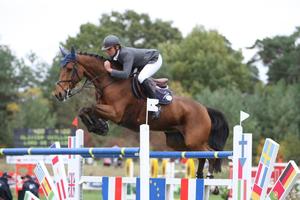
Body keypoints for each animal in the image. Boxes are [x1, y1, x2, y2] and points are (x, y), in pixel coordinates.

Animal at [54, 47, 230, 180]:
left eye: (69, 69)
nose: (58, 94)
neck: (110, 81)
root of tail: (204, 109)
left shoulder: (115, 113)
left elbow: (89, 107)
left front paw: (98, 127)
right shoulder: (106, 109)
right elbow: (85, 110)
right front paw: (99, 127)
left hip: (194, 140)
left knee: (211, 154)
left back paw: (210, 180)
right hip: (178, 141)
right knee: (202, 155)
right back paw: (201, 177)